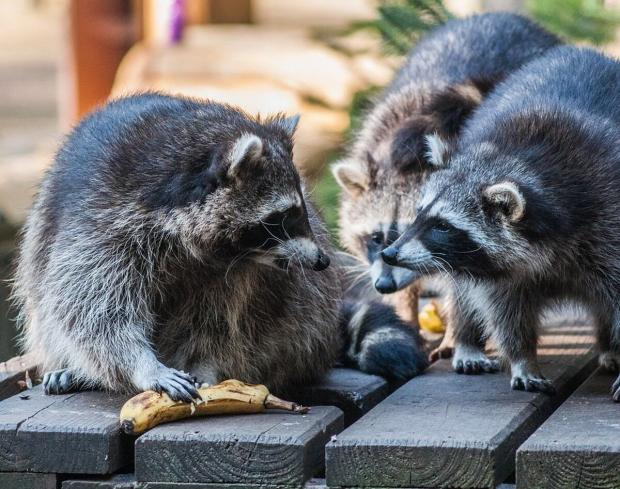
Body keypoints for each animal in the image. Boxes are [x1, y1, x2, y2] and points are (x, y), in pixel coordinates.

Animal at [12, 92, 424, 400]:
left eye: (301, 208)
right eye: (283, 216)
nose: (323, 261)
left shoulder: (234, 272)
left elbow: (219, 322)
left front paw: (205, 364)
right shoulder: (99, 224)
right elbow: (91, 310)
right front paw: (143, 366)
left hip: (303, 316)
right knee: (46, 300)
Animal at [332, 10, 560, 354]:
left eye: (429, 228)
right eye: (374, 237)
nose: (383, 285)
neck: (406, 157)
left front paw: (456, 333)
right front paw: (406, 315)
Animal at [386, 43, 620, 398]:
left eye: (443, 225)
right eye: (419, 213)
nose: (389, 253)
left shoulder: (608, 217)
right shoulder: (499, 269)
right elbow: (505, 307)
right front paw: (523, 357)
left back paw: (608, 346)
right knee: (465, 293)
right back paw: (466, 339)